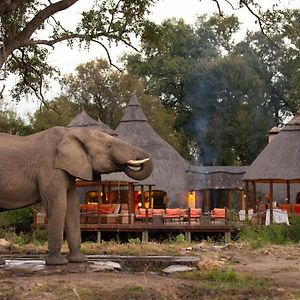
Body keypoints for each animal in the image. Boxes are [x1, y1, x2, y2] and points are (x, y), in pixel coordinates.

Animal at [0, 126, 152, 264]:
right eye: (109, 145)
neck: (71, 132)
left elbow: (73, 205)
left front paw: (79, 260)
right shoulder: (51, 168)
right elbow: (59, 204)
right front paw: (57, 263)